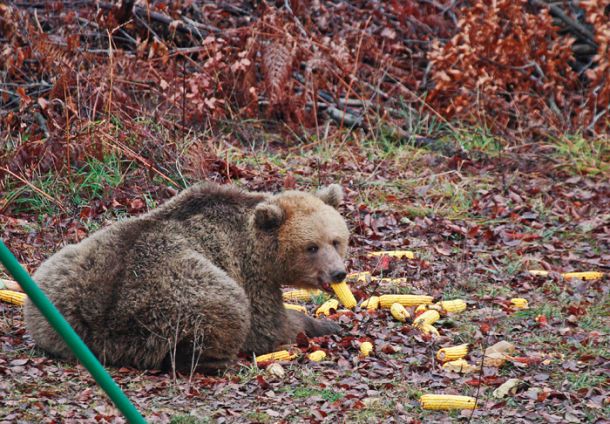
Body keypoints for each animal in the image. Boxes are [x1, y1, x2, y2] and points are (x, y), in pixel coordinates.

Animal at [23, 181, 346, 372]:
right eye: (311, 247)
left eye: (336, 240)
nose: (338, 272)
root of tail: (101, 326)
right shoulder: (248, 272)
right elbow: (268, 325)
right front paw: (323, 324)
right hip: (176, 294)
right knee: (226, 308)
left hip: (54, 283)